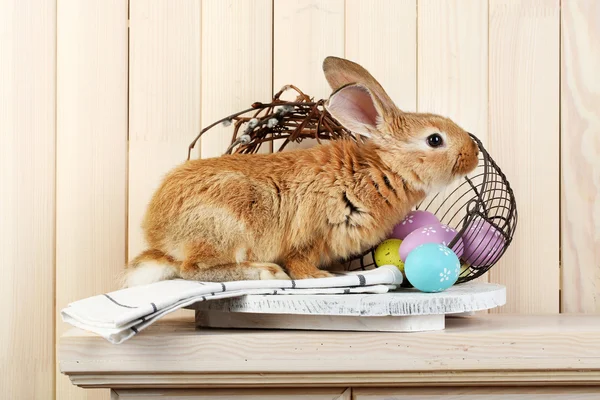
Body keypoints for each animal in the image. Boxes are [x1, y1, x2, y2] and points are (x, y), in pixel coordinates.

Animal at [124, 56, 480, 288]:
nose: (474, 155)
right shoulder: (313, 232)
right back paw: (266, 272)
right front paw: (321, 277)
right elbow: (299, 262)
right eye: (435, 140)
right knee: (192, 269)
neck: (381, 170)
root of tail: (159, 238)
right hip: (227, 225)